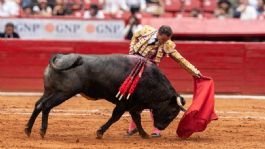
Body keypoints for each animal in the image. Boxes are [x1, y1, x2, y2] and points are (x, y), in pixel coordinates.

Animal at [25, 53, 186, 139]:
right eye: (173, 112)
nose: (161, 127)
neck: (150, 80)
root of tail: (61, 57)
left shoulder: (133, 105)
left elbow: (137, 119)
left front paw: (144, 134)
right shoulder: (124, 103)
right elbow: (115, 117)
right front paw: (99, 132)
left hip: (49, 91)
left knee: (38, 104)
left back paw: (28, 130)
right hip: (63, 93)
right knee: (46, 106)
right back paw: (42, 131)